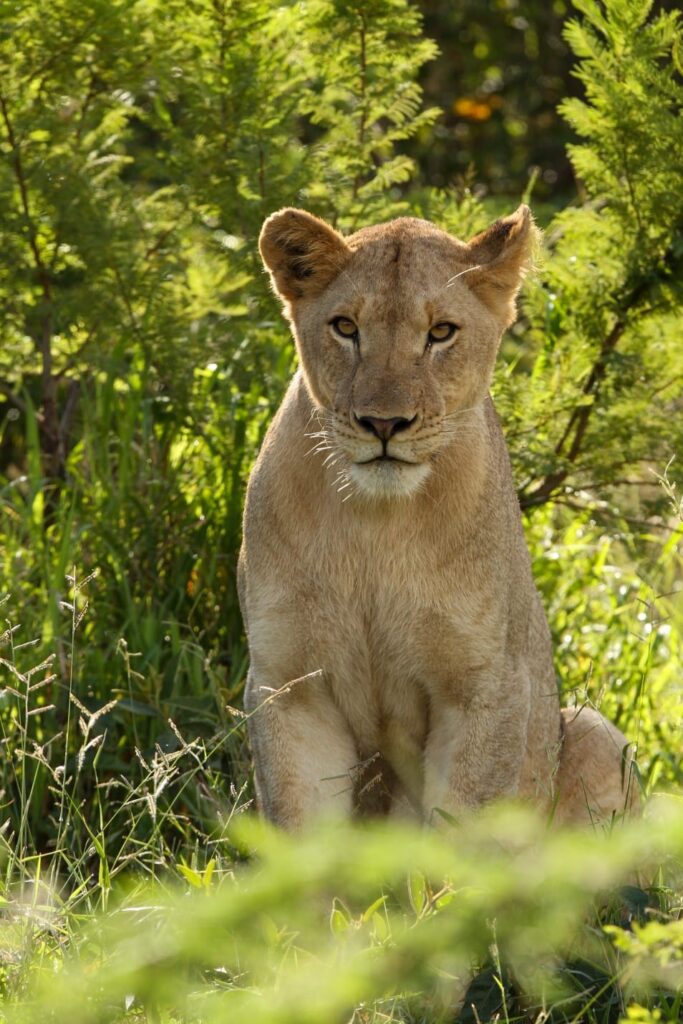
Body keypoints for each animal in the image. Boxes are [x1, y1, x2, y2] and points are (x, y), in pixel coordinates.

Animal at [238, 205, 639, 829]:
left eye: (442, 332)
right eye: (346, 327)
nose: (384, 423)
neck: (377, 526)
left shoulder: (486, 687)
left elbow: (460, 828)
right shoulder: (289, 685)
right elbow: (301, 828)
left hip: (597, 732)